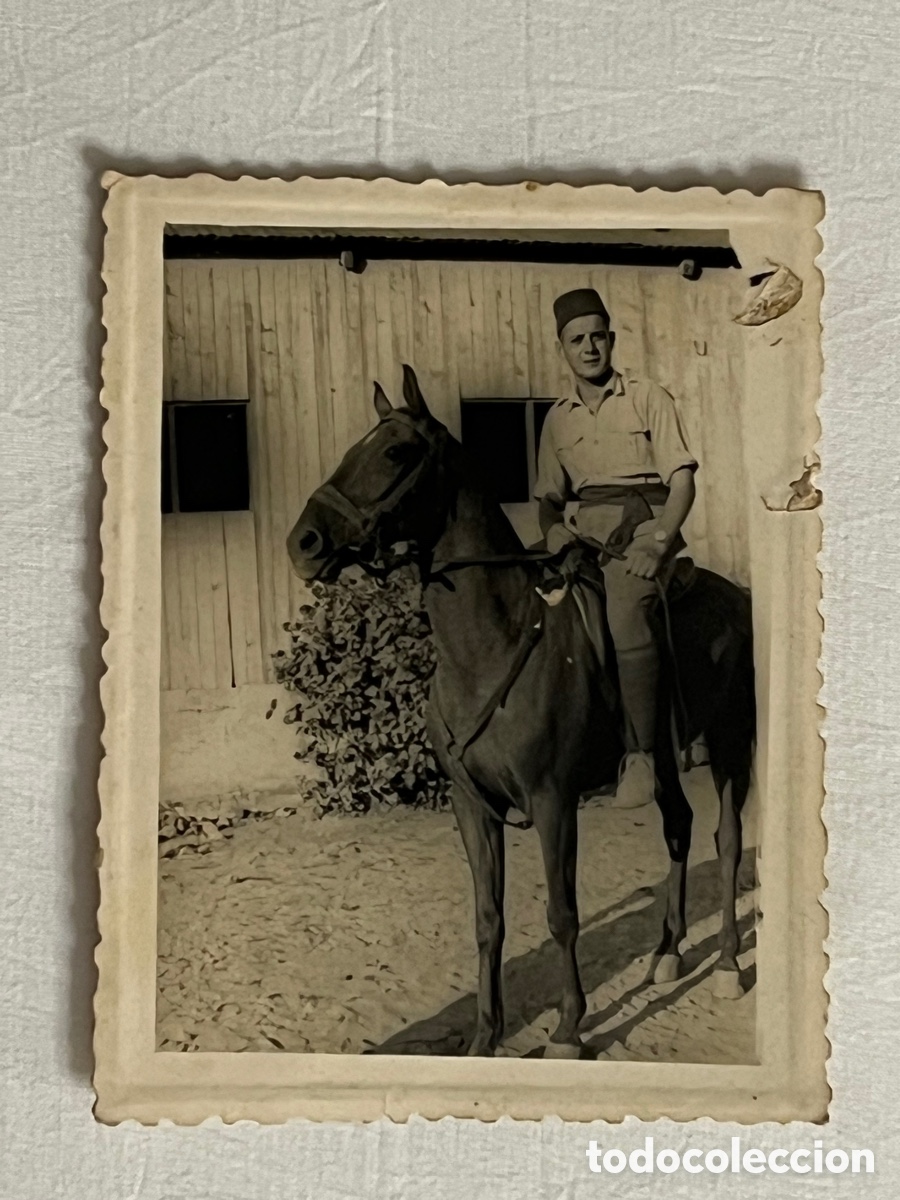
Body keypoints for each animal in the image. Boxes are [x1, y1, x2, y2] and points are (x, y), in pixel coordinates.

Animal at [287, 364, 756, 1058]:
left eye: (396, 452)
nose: (304, 542)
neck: (494, 643)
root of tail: (737, 594)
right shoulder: (472, 805)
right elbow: (489, 919)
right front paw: (485, 1036)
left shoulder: (554, 799)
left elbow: (562, 915)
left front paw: (567, 1028)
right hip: (668, 759)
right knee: (679, 826)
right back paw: (667, 954)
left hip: (731, 747)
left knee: (727, 842)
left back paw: (725, 965)